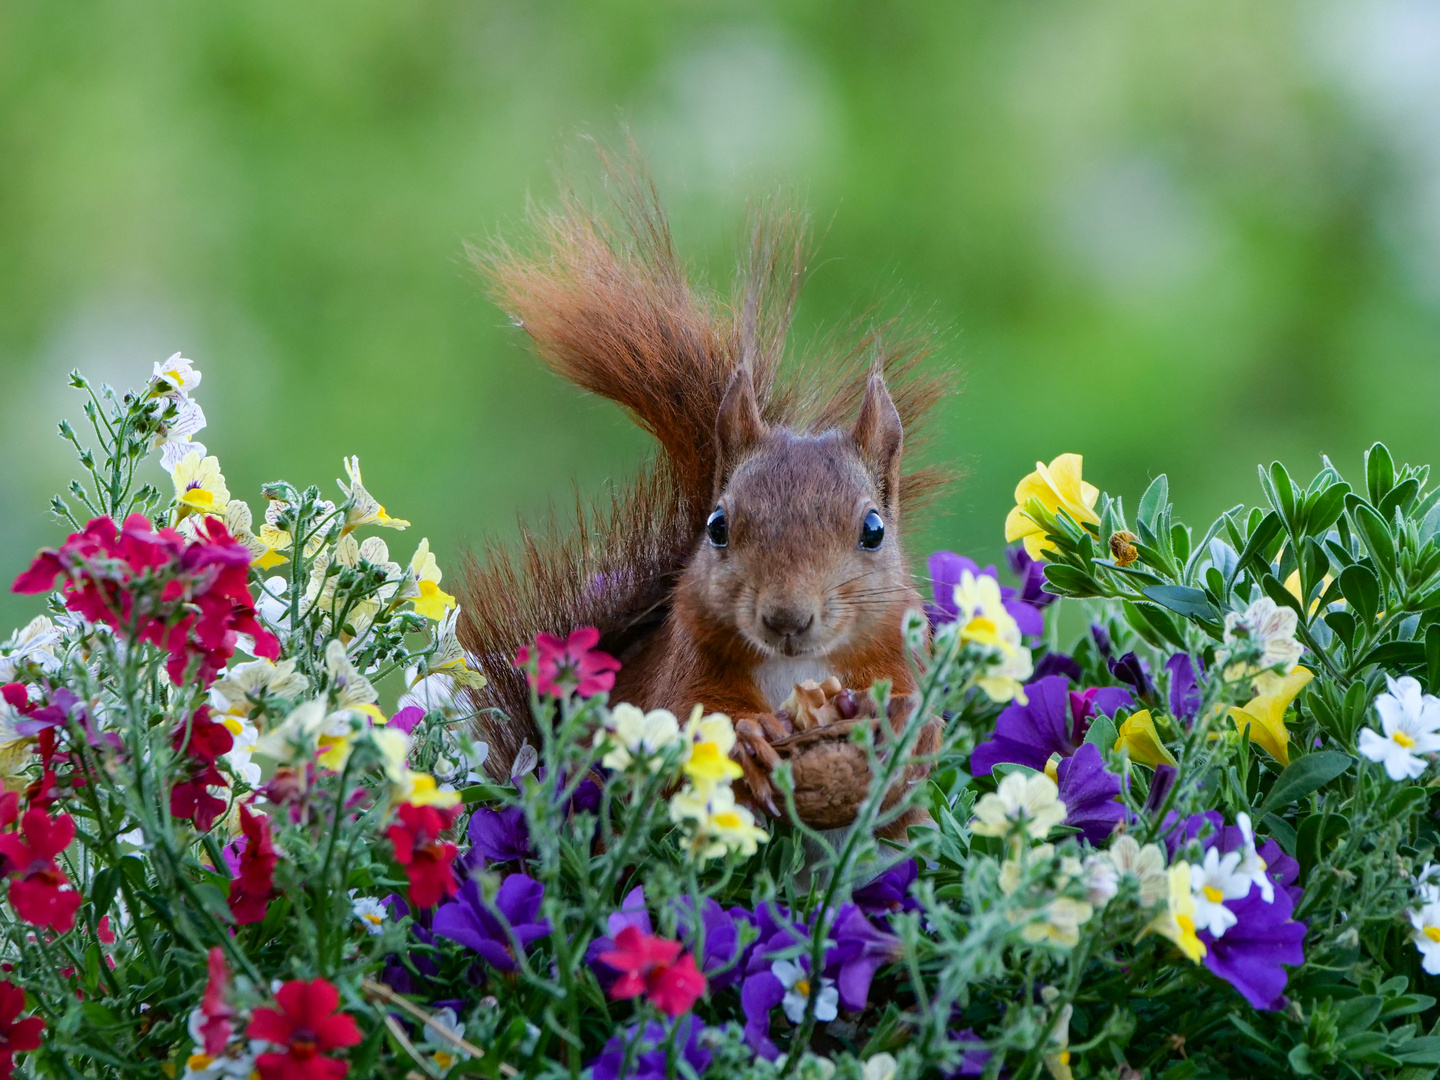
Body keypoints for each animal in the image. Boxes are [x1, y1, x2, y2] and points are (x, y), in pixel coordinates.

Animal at [460, 164, 950, 835]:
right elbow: (691, 715)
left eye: (873, 530)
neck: (800, 671)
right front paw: (752, 734)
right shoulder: (684, 659)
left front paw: (891, 723)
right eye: (717, 526)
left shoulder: (897, 647)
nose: (786, 619)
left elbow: (925, 724)